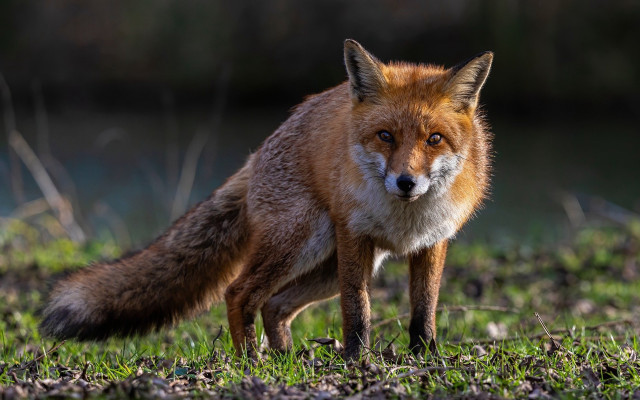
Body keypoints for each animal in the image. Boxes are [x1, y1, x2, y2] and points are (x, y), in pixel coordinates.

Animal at [40, 40, 493, 361]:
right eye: (385, 136)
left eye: (434, 139)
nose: (406, 182)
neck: (404, 219)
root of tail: (257, 152)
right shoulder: (354, 236)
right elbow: (357, 310)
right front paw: (356, 360)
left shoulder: (433, 242)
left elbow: (423, 310)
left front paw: (425, 358)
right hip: (305, 243)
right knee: (240, 293)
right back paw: (251, 361)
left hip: (326, 265)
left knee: (275, 304)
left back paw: (286, 358)